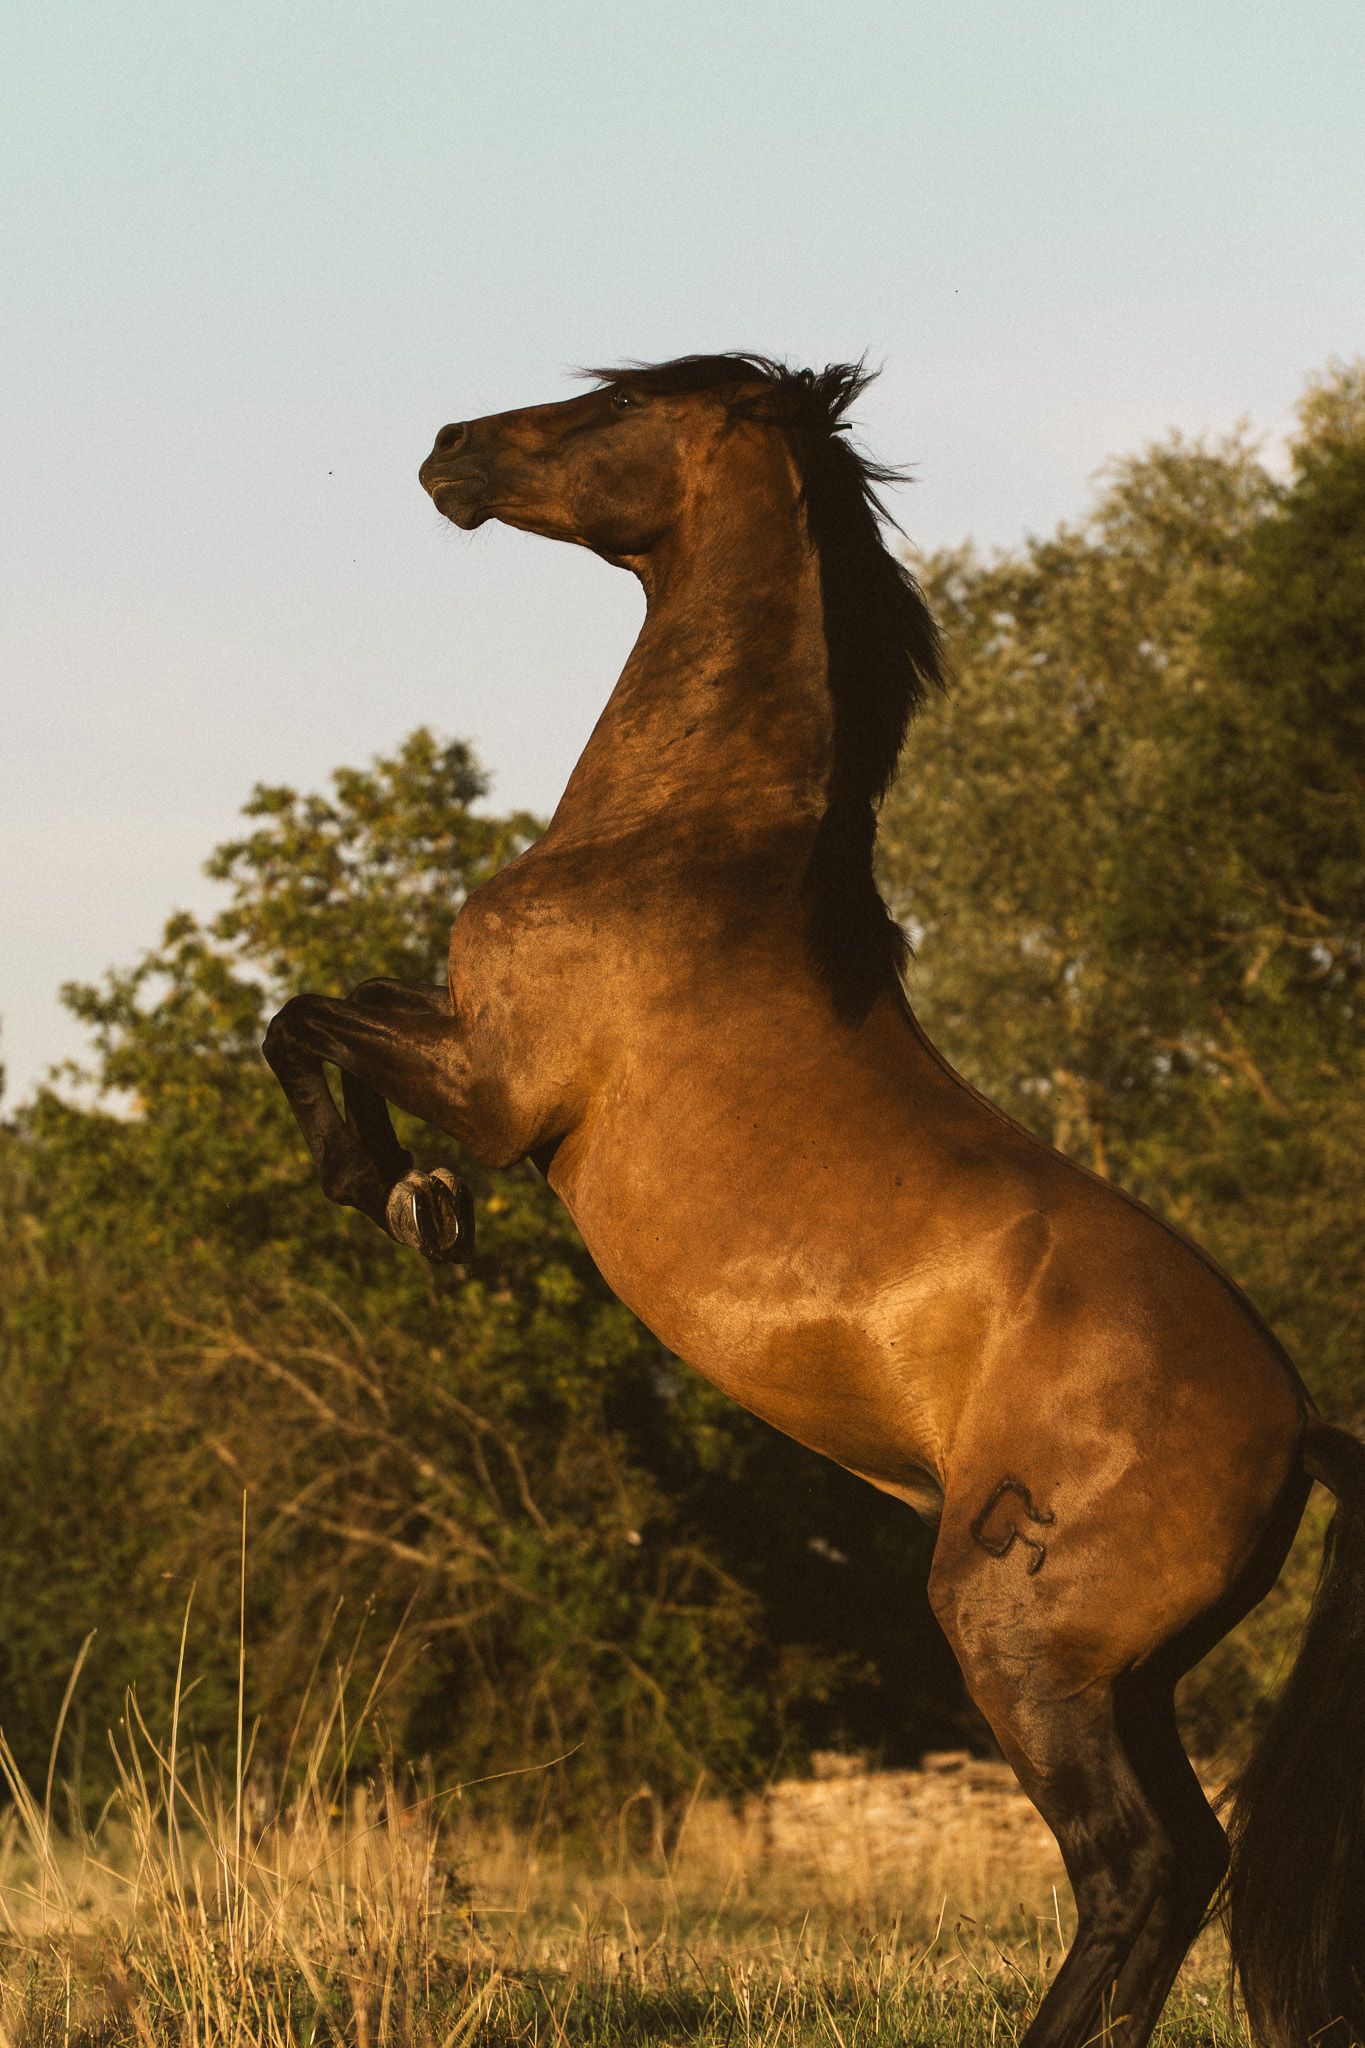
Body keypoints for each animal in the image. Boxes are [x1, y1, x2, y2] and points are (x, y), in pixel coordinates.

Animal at [263, 353, 1365, 2048]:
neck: (685, 847)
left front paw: (397, 1196)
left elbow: (299, 1017)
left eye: (614, 406)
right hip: (1129, 1677)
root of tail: (1297, 1424)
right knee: (1184, 1861)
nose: (449, 451)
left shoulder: (501, 1085)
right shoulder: (470, 1048)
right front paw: (406, 1200)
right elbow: (318, 1008)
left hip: (1019, 1642)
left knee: (1138, 1866)